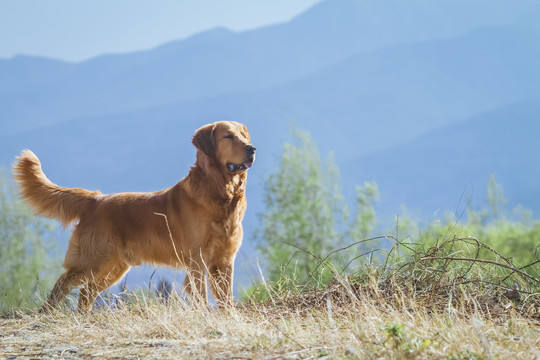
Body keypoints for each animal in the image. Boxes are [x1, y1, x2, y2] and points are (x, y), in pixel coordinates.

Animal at [13, 121, 255, 312]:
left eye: (244, 135)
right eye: (228, 136)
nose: (252, 148)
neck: (220, 192)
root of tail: (95, 199)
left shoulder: (224, 261)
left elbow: (226, 297)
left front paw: (228, 316)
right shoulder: (197, 259)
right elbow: (201, 294)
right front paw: (204, 315)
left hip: (113, 267)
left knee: (86, 292)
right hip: (93, 259)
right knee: (63, 284)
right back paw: (46, 314)